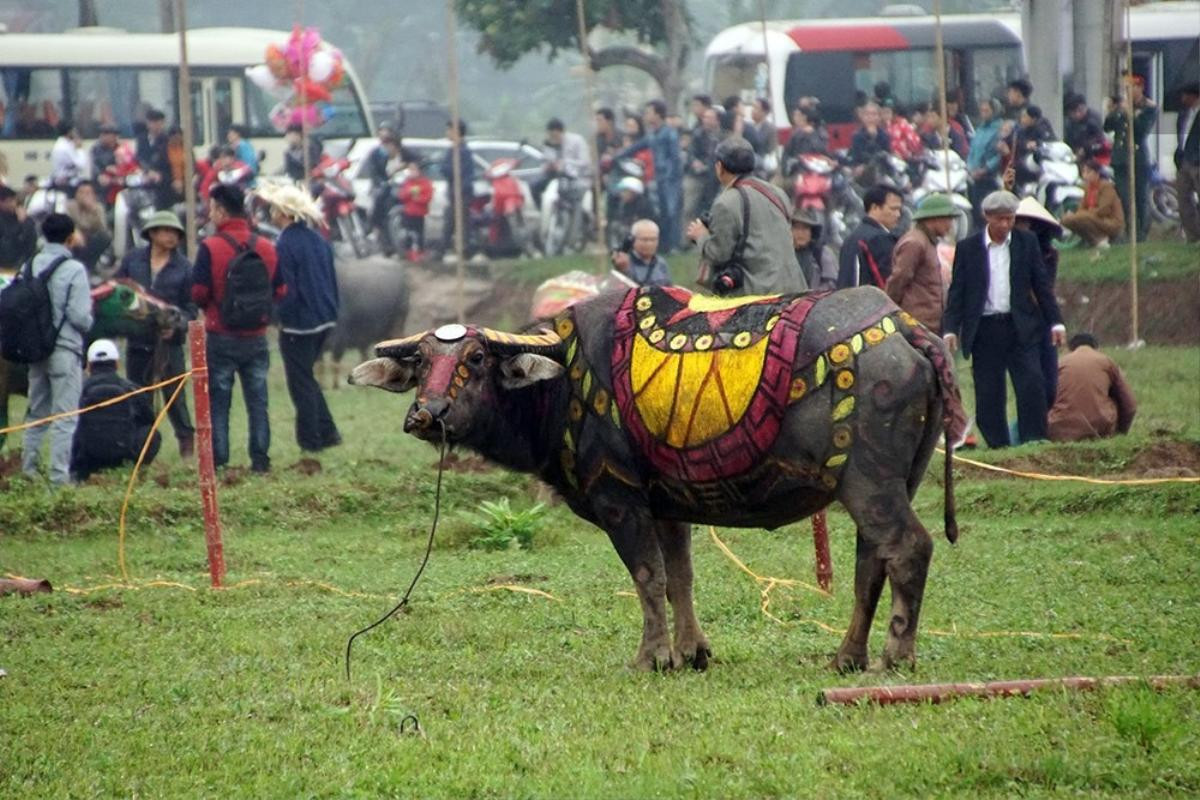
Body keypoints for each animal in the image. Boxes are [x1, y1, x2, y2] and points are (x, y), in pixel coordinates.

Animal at [352, 284, 964, 671]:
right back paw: (846, 657)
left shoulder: (620, 500)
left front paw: (653, 657)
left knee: (908, 549)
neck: (563, 380)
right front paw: (693, 652)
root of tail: (908, 331)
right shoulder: (671, 506)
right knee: (871, 563)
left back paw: (895, 656)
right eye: (421, 363)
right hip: (892, 483)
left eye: (476, 359)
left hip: (869, 483)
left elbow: (646, 577)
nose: (426, 414)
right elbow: (679, 578)